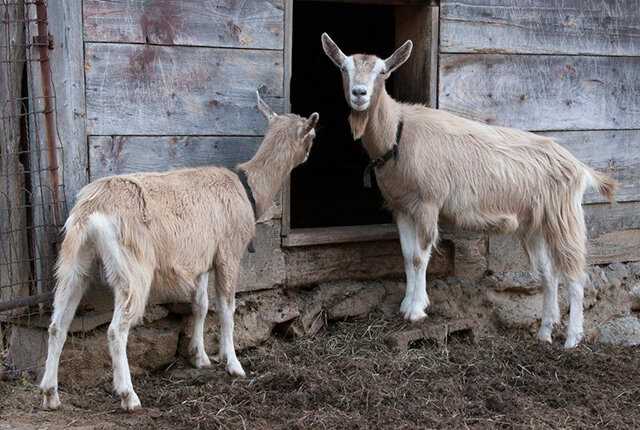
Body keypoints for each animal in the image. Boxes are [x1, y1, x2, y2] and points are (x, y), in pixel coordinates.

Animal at [38, 93, 318, 410]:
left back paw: (50, 394)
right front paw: (233, 365)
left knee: (57, 325)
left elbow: (200, 305)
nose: (310, 153)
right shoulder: (228, 253)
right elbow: (226, 308)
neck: (249, 189)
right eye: (312, 135)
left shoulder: (202, 260)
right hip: (133, 267)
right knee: (116, 329)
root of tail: (92, 210)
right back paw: (128, 396)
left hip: (74, 261)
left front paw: (200, 357)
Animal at [322, 33, 616, 350]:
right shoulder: (401, 207)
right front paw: (406, 305)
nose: (359, 94)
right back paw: (545, 332)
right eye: (343, 68)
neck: (398, 132)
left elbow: (420, 257)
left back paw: (572, 339)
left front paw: (417, 311)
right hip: (534, 223)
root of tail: (580, 166)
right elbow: (407, 256)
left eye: (383, 72)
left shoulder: (428, 203)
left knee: (575, 275)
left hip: (563, 216)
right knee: (548, 274)